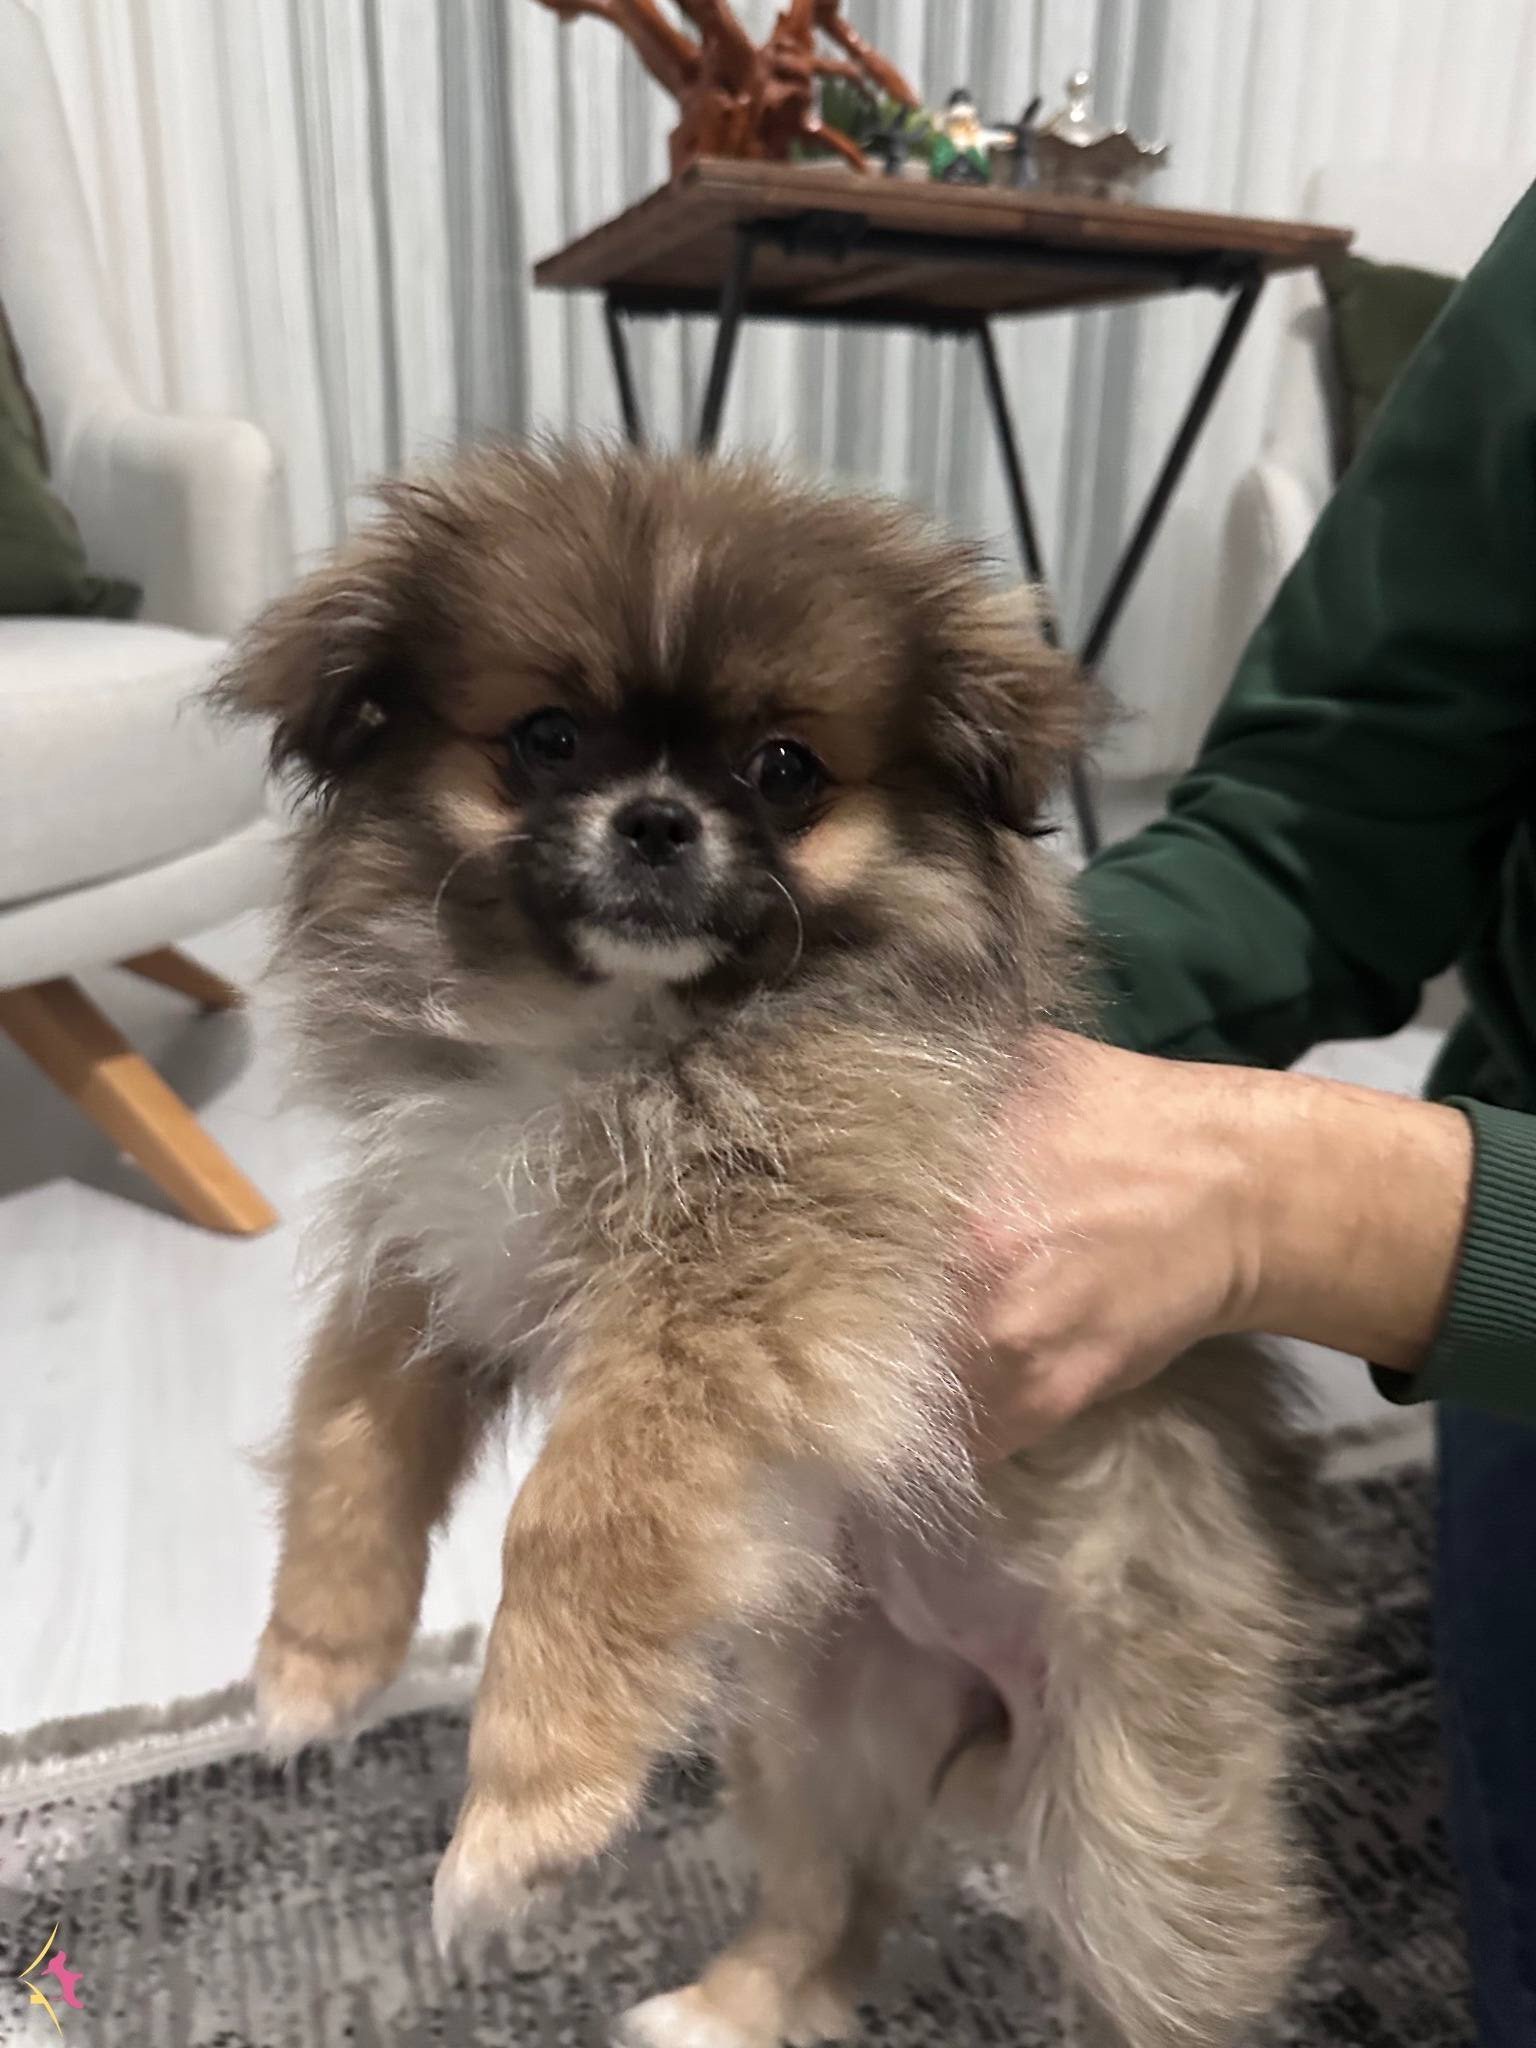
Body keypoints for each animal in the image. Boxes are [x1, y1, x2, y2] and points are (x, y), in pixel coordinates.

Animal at [222, 444, 1314, 2048]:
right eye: (547, 738)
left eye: (784, 769)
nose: (657, 820)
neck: (612, 1035)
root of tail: (982, 1702)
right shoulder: (443, 1240)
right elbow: (349, 1431)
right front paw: (314, 1665)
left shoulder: (737, 1293)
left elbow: (573, 1518)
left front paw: (520, 1820)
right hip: (802, 1726)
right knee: (835, 1905)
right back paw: (727, 2008)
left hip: (1134, 1831)